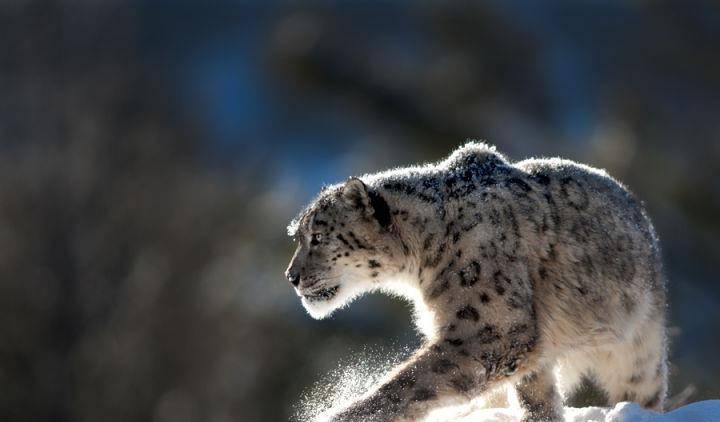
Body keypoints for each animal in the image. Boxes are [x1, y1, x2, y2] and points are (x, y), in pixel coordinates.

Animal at [284, 143, 668, 420]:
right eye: (299, 236)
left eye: (318, 236)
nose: (291, 276)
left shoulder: (492, 331)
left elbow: (411, 381)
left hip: (638, 348)